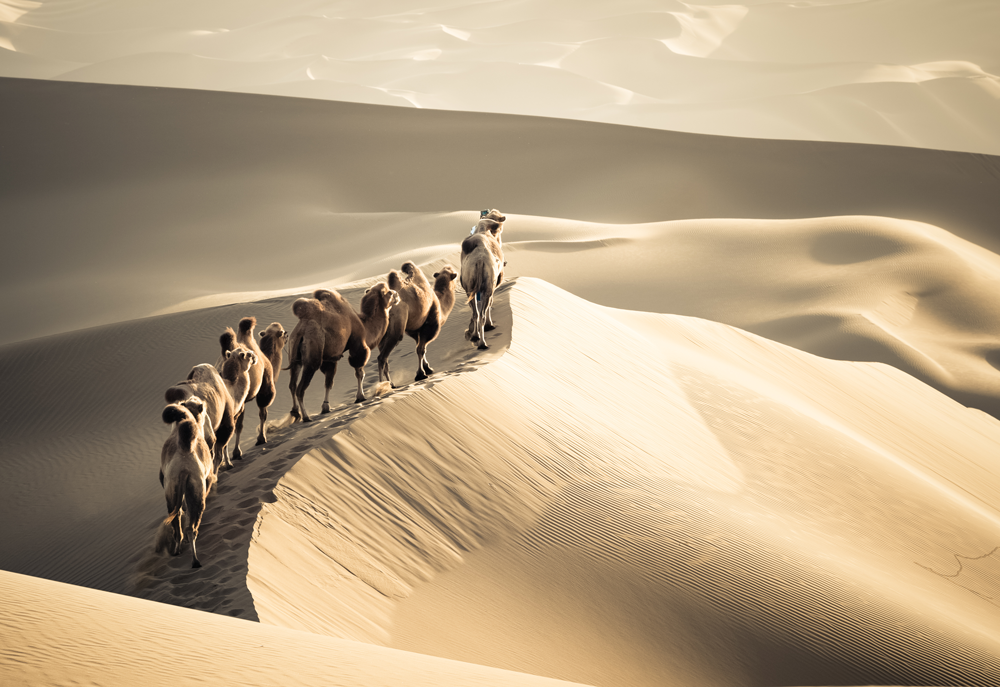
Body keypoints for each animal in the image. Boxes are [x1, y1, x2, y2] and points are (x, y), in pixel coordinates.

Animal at [155, 396, 216, 572]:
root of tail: (184, 468)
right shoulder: (207, 479)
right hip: (197, 491)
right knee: (191, 528)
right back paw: (195, 560)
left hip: (172, 490)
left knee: (175, 521)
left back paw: (177, 550)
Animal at [286, 280, 398, 422]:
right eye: (389, 293)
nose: (397, 294)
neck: (365, 325)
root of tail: (301, 331)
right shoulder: (358, 345)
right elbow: (360, 372)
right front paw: (360, 397)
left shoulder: (331, 357)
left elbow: (329, 382)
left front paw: (326, 407)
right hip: (312, 357)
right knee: (300, 388)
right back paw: (306, 417)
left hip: (295, 355)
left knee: (292, 385)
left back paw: (295, 413)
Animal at [462, 211, 508, 350]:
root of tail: (479, 260)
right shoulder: (492, 286)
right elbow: (490, 304)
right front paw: (490, 324)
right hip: (488, 286)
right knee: (481, 313)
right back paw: (483, 342)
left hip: (470, 288)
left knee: (476, 313)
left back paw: (475, 337)